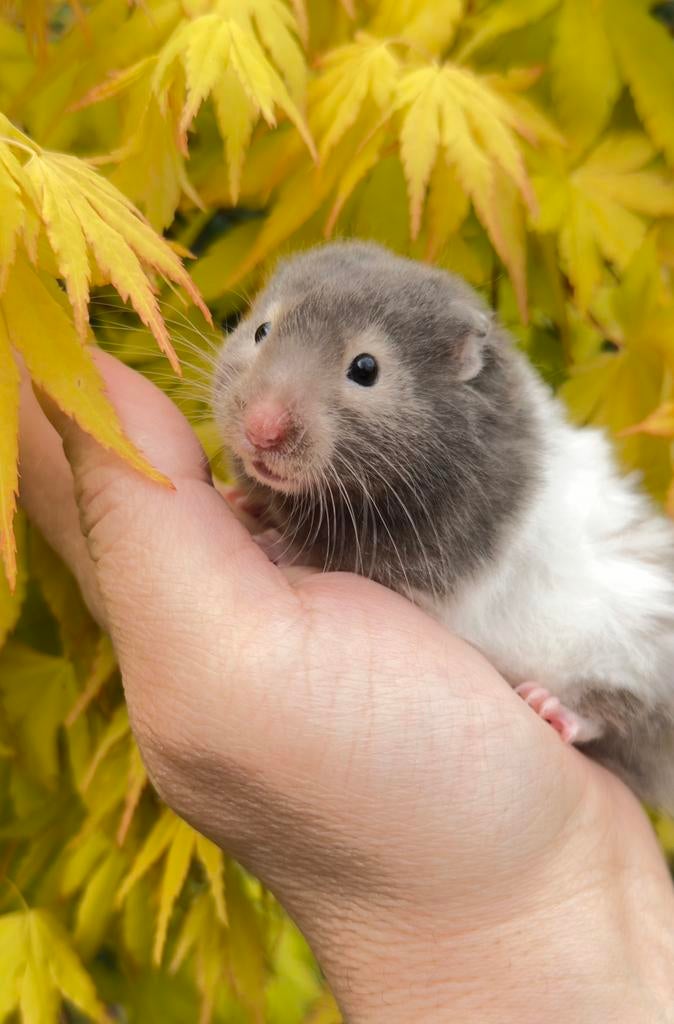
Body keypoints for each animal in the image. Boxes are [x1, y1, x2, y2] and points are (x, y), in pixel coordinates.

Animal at [213, 240, 674, 813]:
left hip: (636, 658)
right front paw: (244, 500)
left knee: (619, 715)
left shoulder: (419, 562)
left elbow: (334, 554)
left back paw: (549, 707)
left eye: (365, 367)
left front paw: (276, 542)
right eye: (261, 330)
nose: (260, 431)